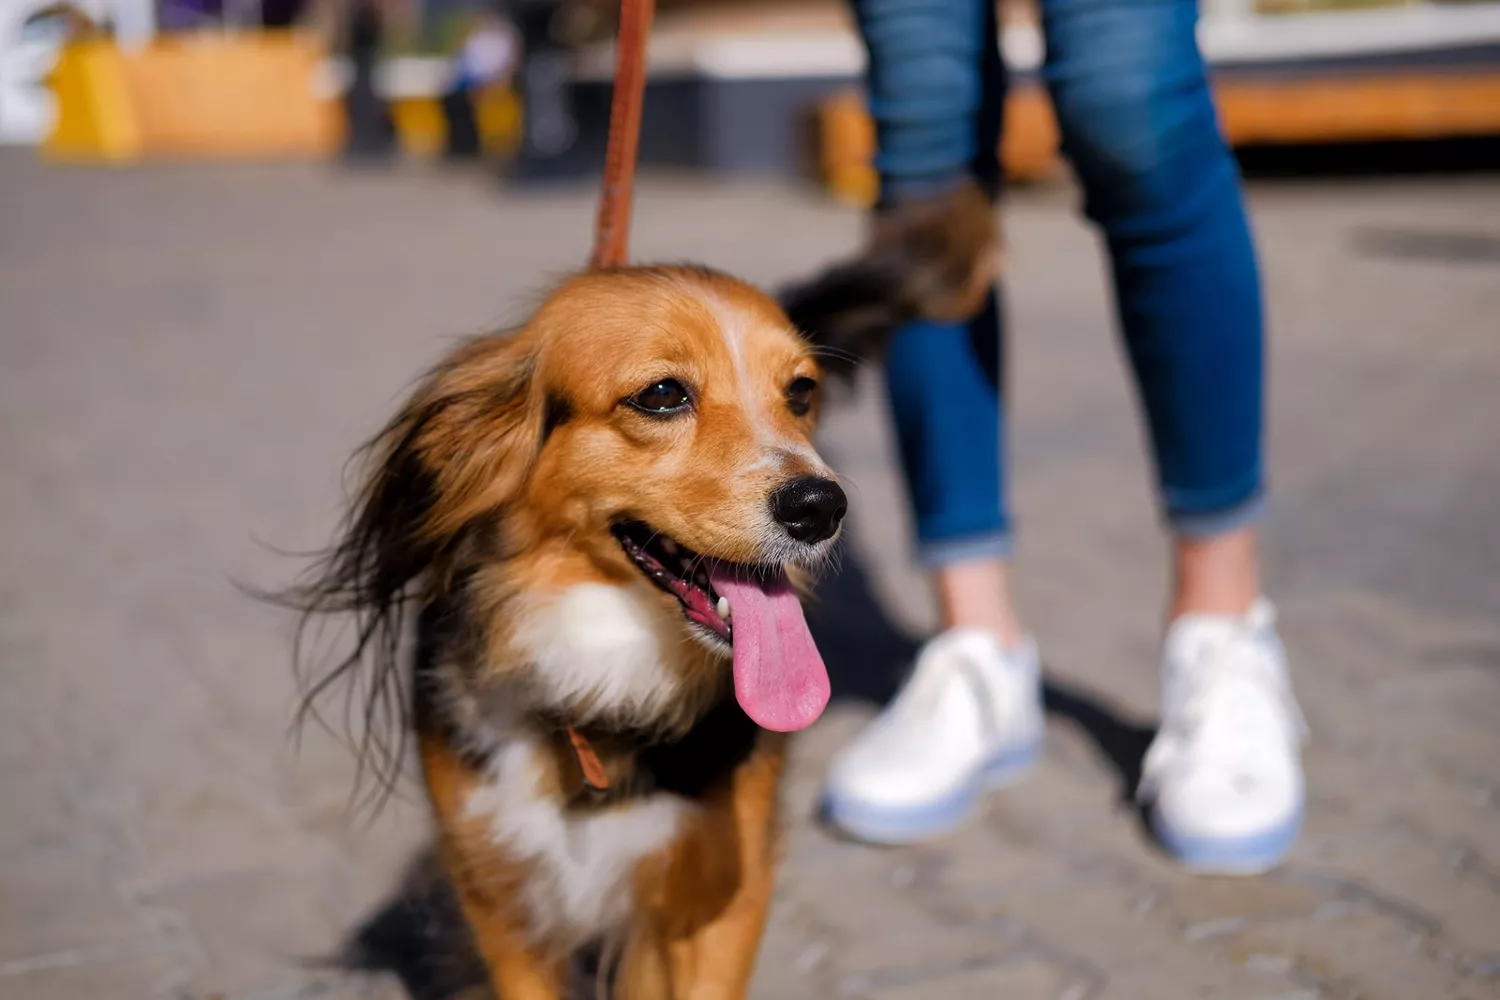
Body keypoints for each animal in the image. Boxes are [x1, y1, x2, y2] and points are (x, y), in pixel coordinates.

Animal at [283, 262, 846, 995]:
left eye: (800, 392)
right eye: (662, 395)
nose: (822, 507)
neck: (602, 669)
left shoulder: (723, 893)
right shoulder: (499, 889)